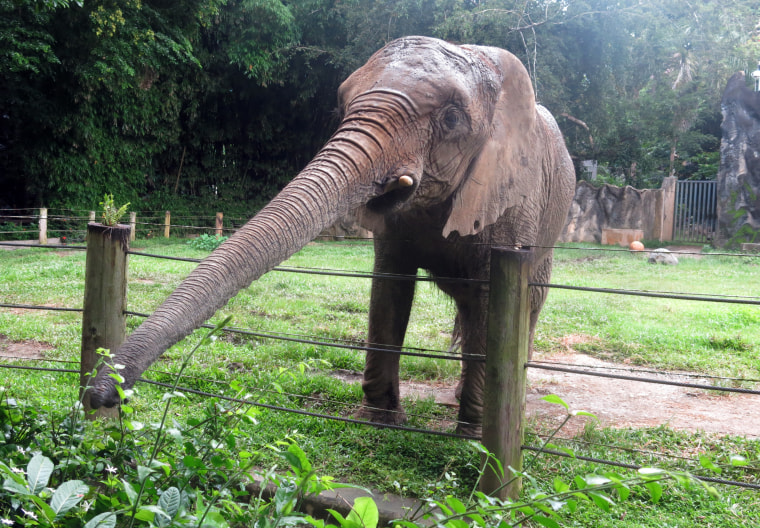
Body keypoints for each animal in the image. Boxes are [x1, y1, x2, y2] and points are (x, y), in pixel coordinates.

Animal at [90, 35, 576, 436]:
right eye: (343, 106)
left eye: (453, 119)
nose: (97, 395)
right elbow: (390, 287)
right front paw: (381, 421)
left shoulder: (514, 197)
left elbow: (492, 296)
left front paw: (473, 436)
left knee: (522, 301)